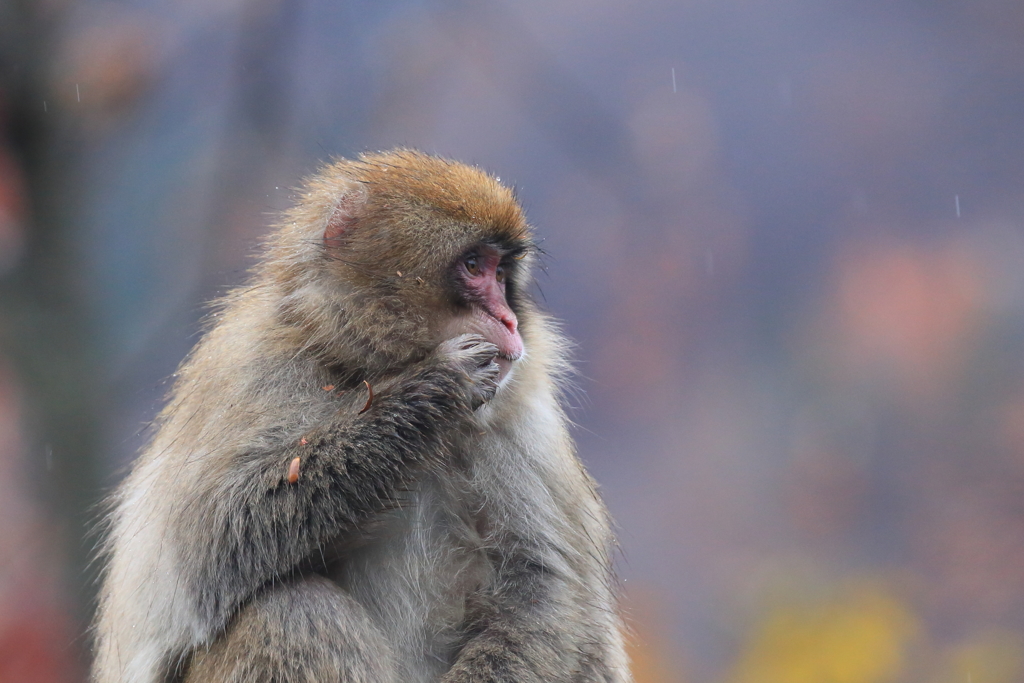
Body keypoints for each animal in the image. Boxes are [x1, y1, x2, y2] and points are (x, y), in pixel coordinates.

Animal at [92, 149, 630, 683]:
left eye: (502, 274)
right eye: (475, 265)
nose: (509, 320)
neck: (362, 367)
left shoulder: (518, 415)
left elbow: (538, 586)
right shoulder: (248, 366)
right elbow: (205, 546)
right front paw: (434, 387)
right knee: (289, 607)